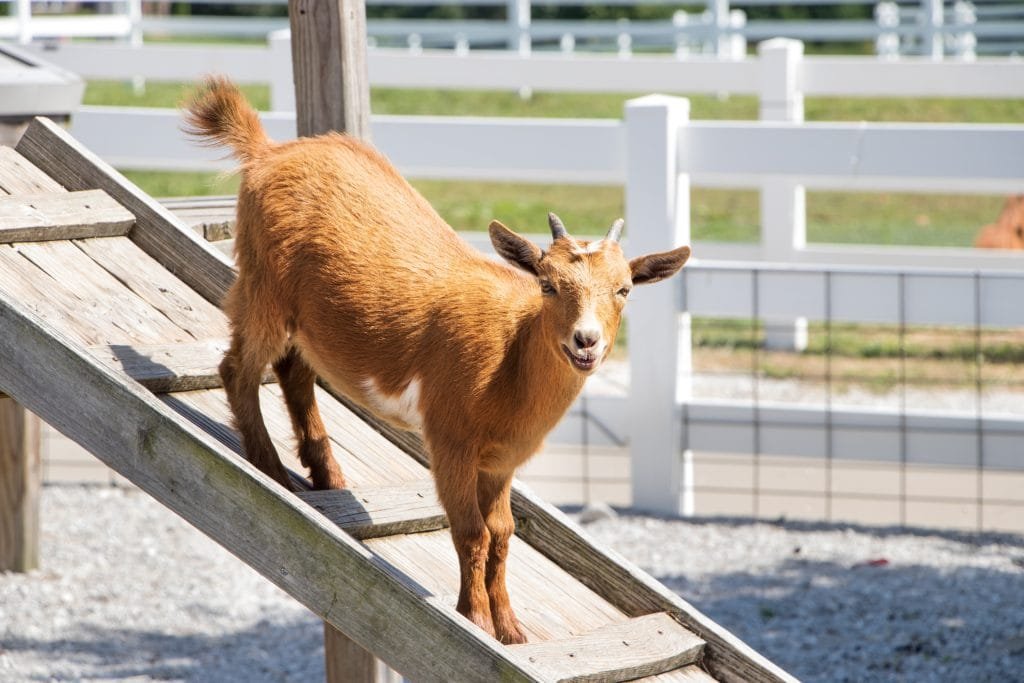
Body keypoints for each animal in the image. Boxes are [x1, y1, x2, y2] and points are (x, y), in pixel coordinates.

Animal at [187, 77, 692, 643]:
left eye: (624, 289)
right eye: (546, 284)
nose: (586, 341)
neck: (509, 360)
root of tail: (269, 151)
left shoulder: (501, 461)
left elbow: (502, 532)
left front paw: (511, 628)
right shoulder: (450, 440)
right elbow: (471, 531)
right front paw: (475, 617)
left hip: (303, 321)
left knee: (293, 372)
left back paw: (327, 476)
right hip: (264, 288)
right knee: (238, 368)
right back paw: (271, 467)